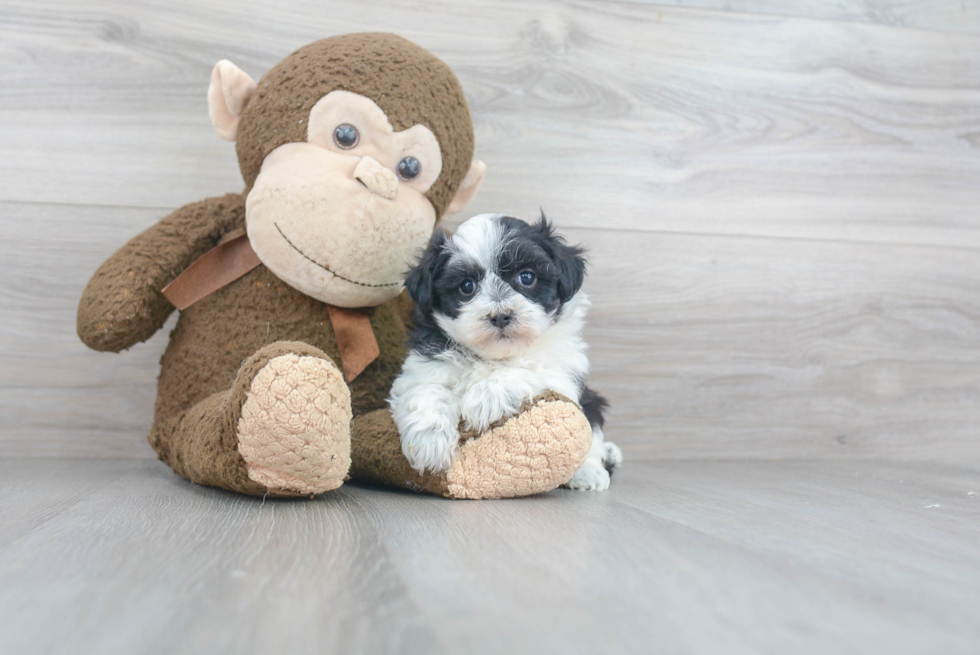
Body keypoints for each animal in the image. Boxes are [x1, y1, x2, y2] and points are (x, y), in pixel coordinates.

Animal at [388, 214, 620, 492]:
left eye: (527, 277)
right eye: (467, 286)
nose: (500, 315)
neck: (493, 355)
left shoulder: (562, 373)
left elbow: (524, 370)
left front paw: (485, 397)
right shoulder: (424, 366)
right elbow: (426, 391)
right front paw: (429, 442)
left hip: (591, 402)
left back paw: (589, 473)